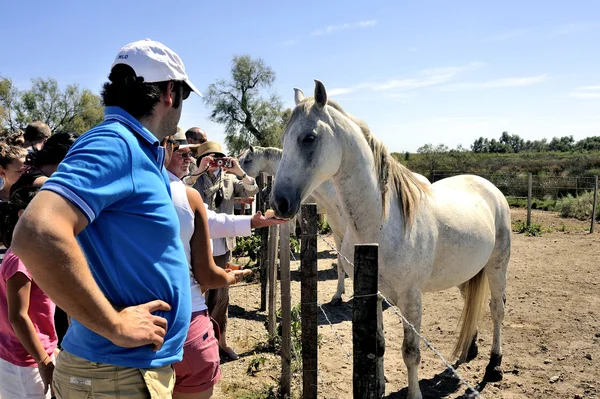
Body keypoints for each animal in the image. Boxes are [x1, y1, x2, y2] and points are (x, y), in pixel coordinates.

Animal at [272, 81, 510, 399]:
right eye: (284, 139)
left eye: (308, 138)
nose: (279, 202)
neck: (382, 223)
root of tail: (489, 187)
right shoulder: (374, 294)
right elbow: (380, 346)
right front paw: (379, 386)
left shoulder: (411, 297)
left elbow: (411, 352)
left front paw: (414, 394)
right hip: (468, 271)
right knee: (471, 302)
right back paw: (469, 350)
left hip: (497, 266)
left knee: (497, 309)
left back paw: (493, 365)